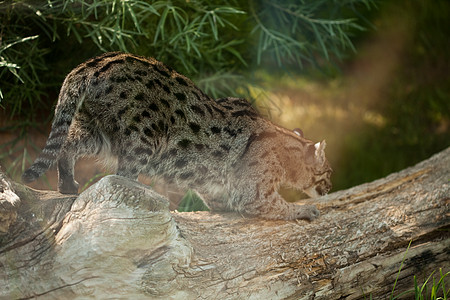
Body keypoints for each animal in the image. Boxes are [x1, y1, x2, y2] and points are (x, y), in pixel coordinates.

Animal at [22, 51, 332, 220]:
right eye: (328, 173)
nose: (329, 188)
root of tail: (93, 63)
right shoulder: (252, 193)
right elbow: (276, 205)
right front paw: (304, 211)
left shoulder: (213, 187)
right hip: (142, 140)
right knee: (120, 179)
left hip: (95, 131)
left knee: (66, 146)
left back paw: (67, 184)